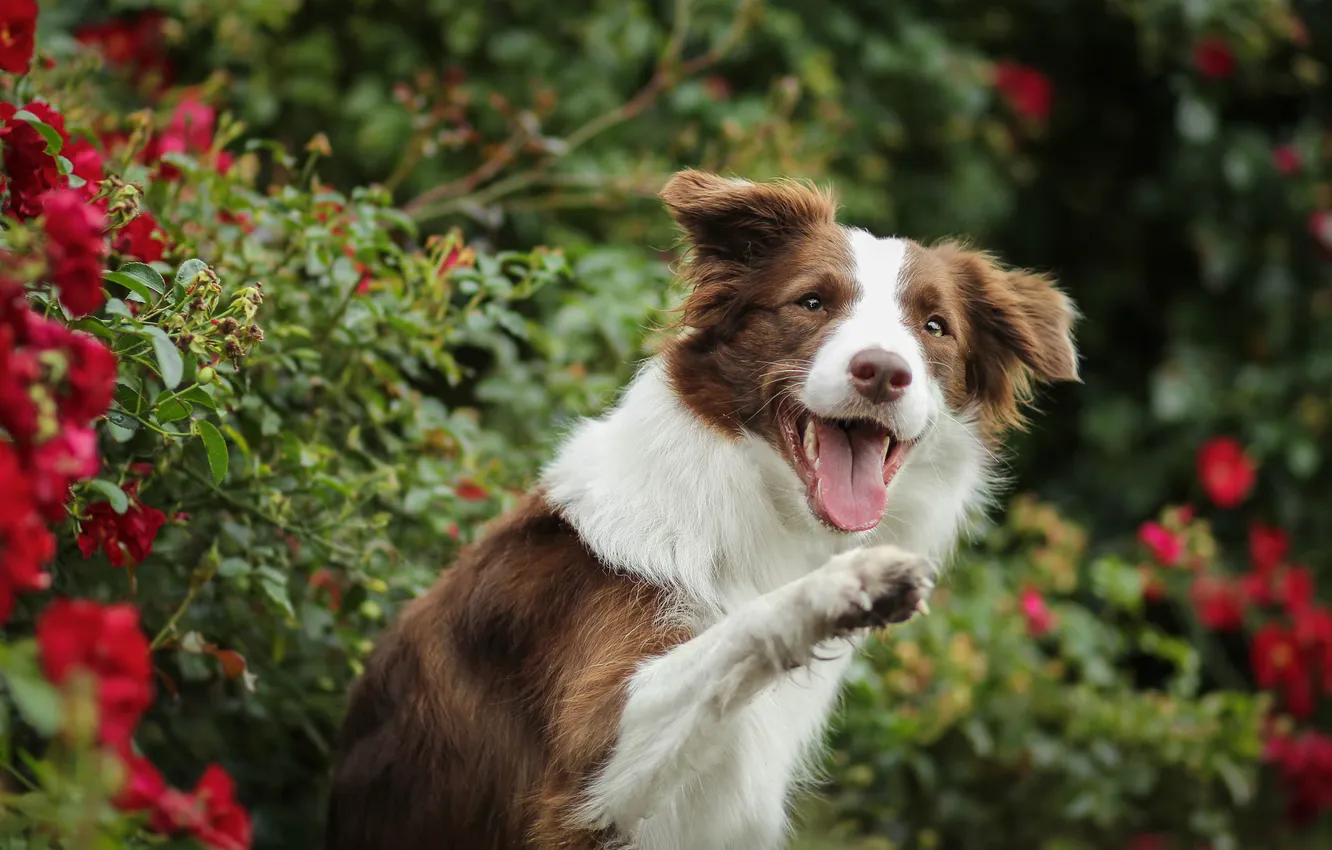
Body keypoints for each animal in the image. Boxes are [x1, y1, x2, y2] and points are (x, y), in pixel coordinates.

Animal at [325, 167, 1081, 850]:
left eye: (934, 326)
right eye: (812, 302)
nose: (883, 372)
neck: (773, 529)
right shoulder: (584, 773)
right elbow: (735, 635)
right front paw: (844, 587)